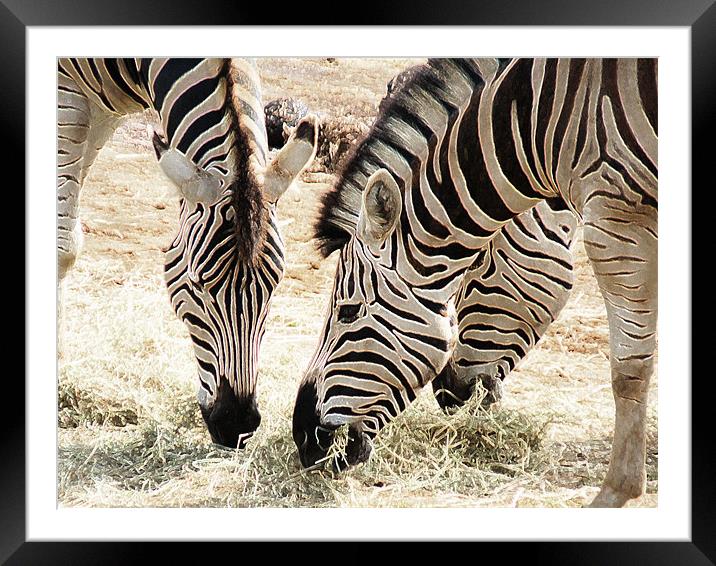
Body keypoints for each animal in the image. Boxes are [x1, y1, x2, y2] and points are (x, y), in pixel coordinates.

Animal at [59, 57, 318, 448]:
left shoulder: (102, 107)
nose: (237, 425)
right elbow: (63, 245)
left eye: (273, 286)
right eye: (198, 285)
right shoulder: (68, 89)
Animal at [290, 58, 656, 510]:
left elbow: (629, 368)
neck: (546, 124)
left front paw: (618, 490)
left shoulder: (618, 215)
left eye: (348, 311)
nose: (304, 439)